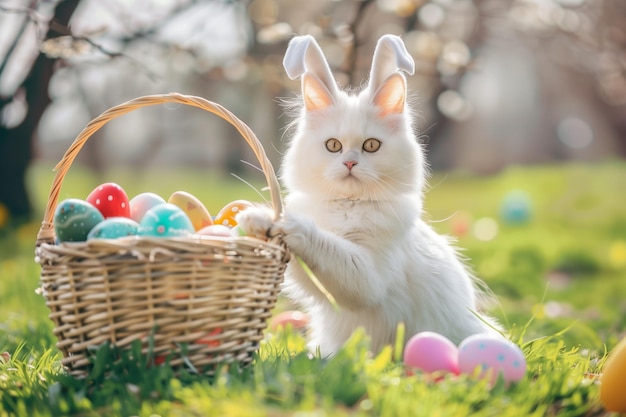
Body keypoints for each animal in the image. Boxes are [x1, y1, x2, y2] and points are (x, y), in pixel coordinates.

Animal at [238, 34, 498, 356]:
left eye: (371, 146)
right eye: (333, 146)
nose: (350, 163)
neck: (347, 207)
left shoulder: (367, 275)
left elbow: (323, 244)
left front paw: (275, 219)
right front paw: (256, 223)